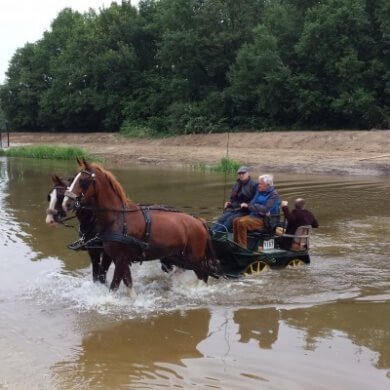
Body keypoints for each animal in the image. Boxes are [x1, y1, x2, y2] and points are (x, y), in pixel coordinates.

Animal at [61, 158, 219, 292]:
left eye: (82, 181)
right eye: (72, 179)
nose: (66, 203)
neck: (119, 219)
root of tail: (199, 221)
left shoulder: (120, 259)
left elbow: (114, 286)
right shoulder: (120, 259)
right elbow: (128, 283)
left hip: (195, 258)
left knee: (204, 276)